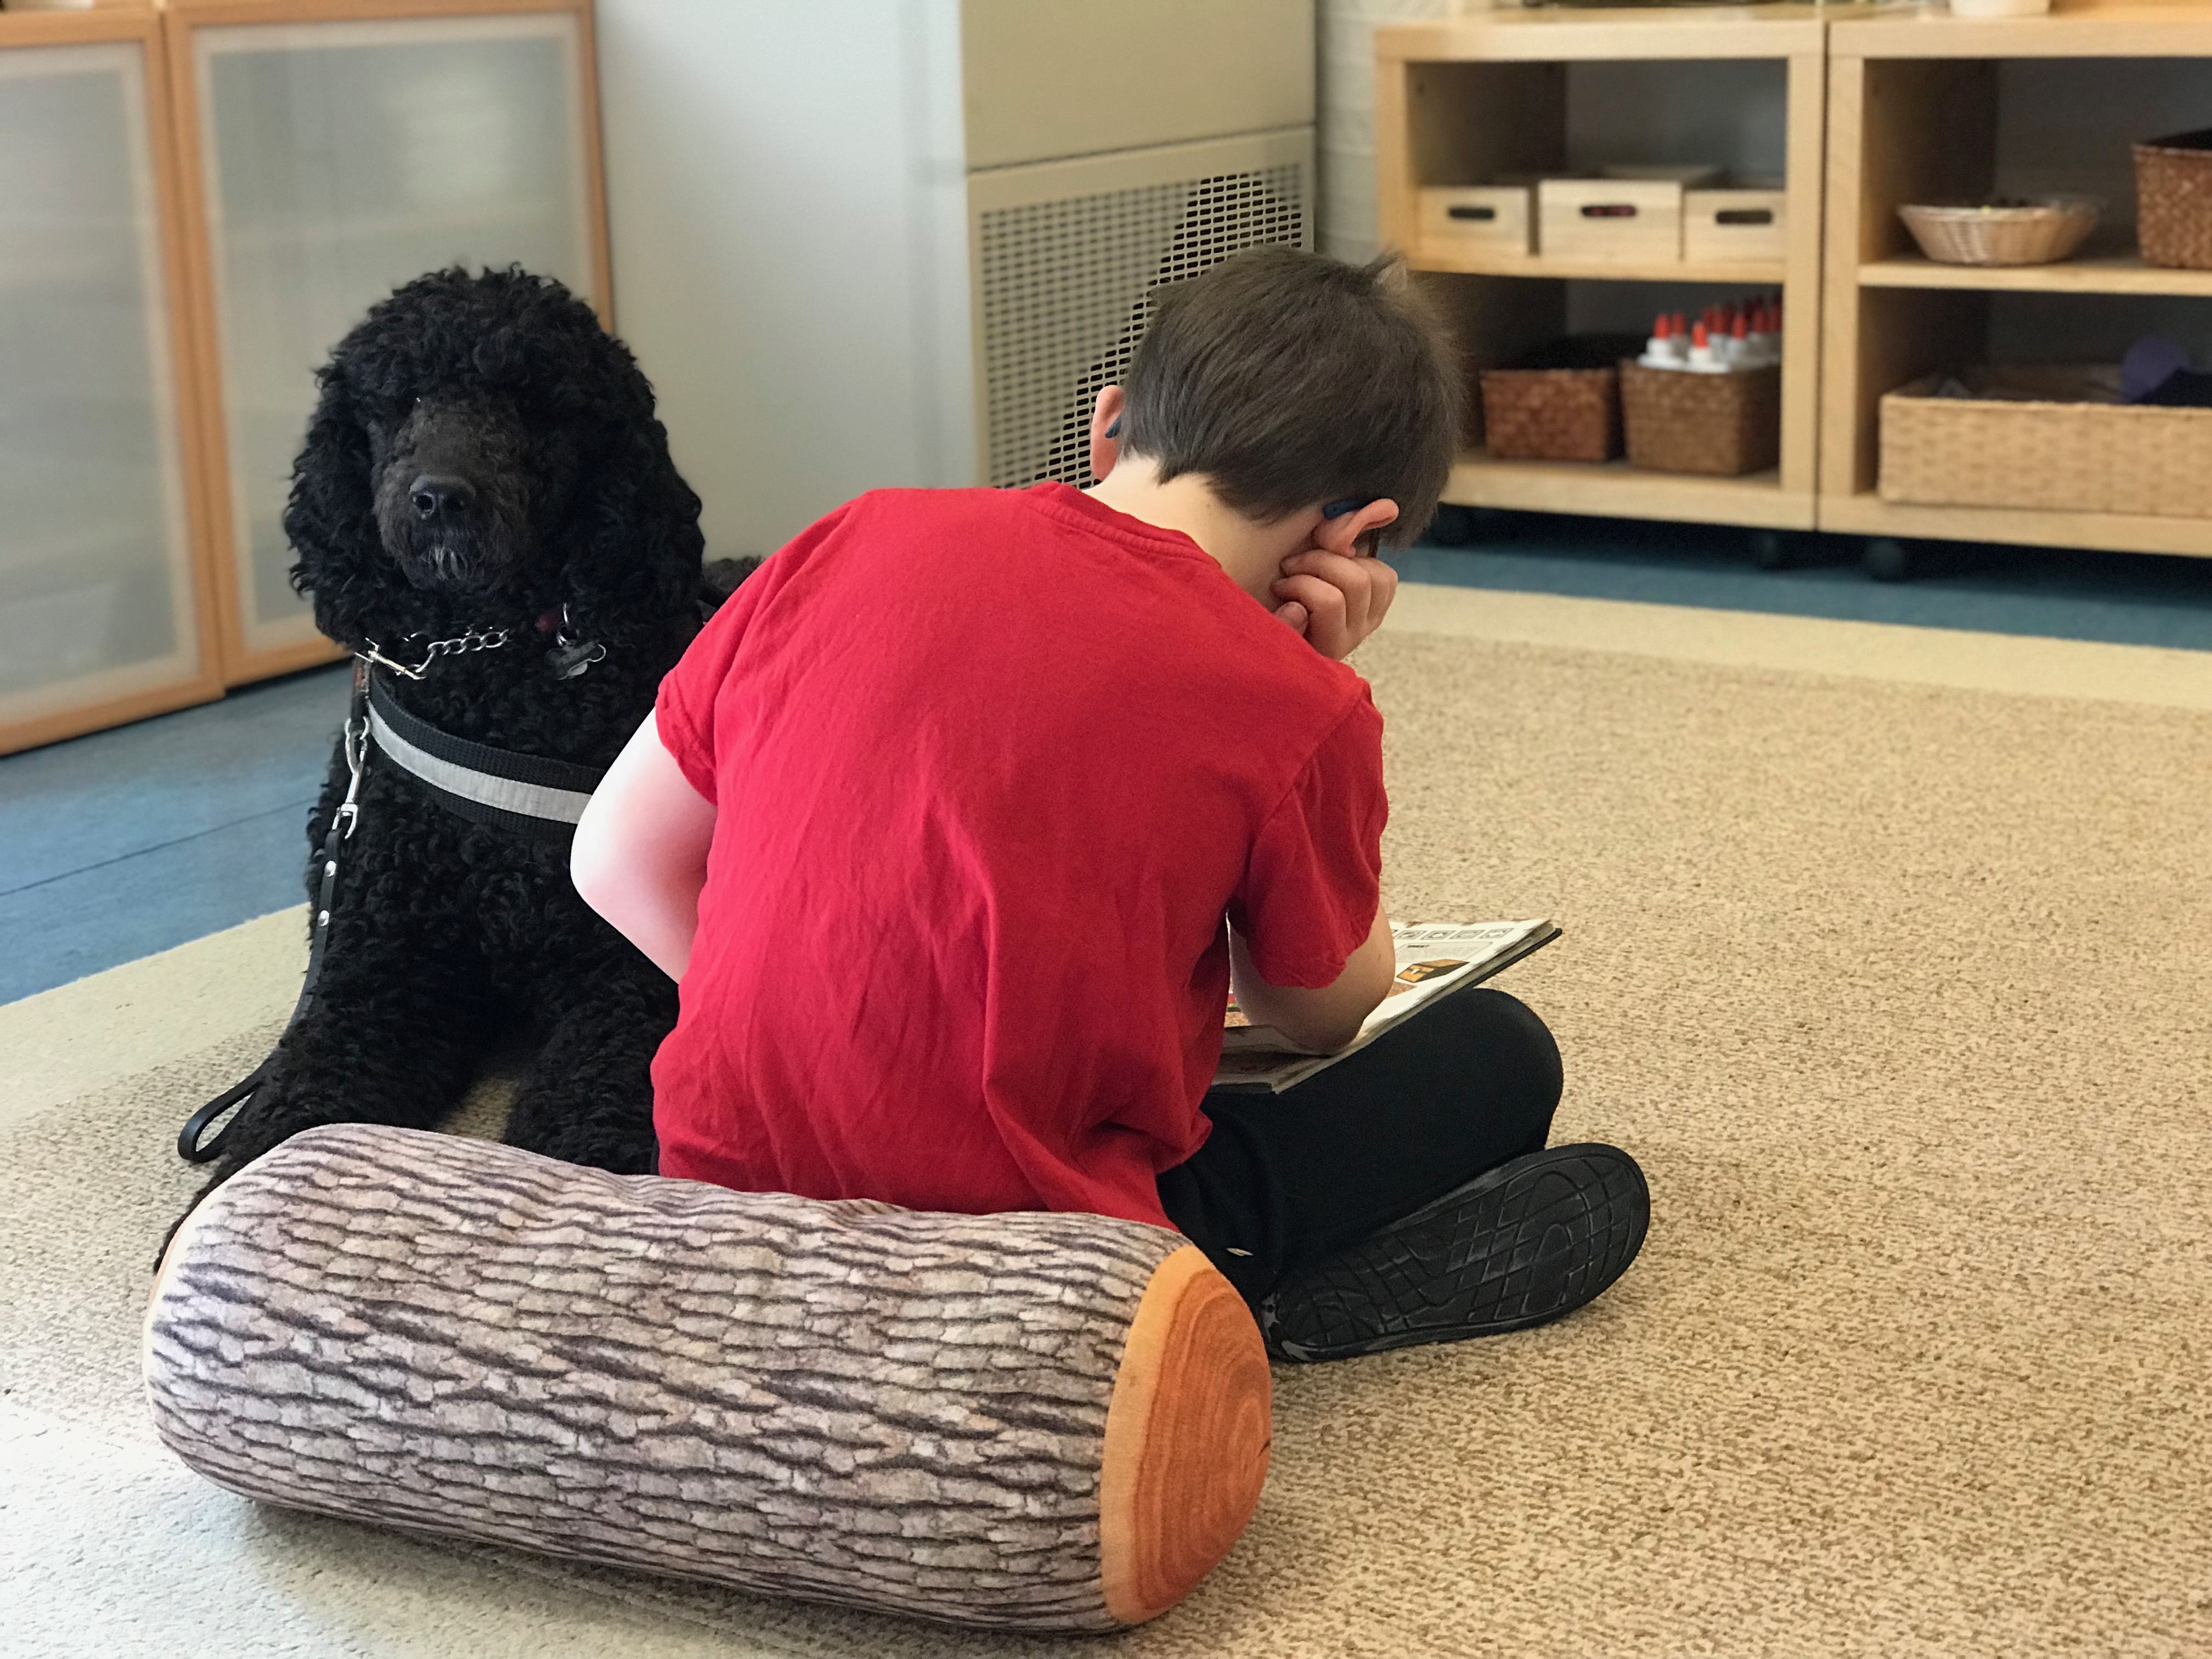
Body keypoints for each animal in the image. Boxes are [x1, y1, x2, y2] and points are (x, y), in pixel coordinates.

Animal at [166, 266, 752, 1238]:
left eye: (535, 402)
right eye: (397, 400)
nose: (440, 496)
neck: (489, 674)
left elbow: (585, 1123)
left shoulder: (628, 984)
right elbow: (296, 1102)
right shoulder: (374, 973)